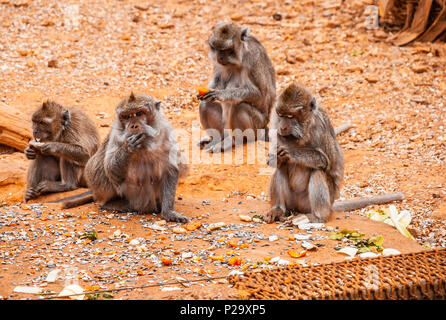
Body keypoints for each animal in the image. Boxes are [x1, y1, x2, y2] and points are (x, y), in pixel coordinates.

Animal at [64, 92, 188, 222]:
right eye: (126, 116)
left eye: (139, 113)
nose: (133, 126)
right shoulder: (116, 134)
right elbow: (109, 168)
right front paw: (128, 147)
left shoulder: (165, 131)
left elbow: (171, 169)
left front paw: (169, 212)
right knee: (95, 167)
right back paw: (115, 203)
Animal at [198, 21, 276, 154]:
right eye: (216, 48)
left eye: (227, 49)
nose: (219, 57)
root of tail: (265, 127)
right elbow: (216, 82)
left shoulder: (252, 59)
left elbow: (259, 94)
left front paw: (221, 94)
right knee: (206, 104)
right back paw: (216, 140)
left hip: (256, 128)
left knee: (239, 106)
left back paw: (232, 141)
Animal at [264, 84, 404, 224]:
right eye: (281, 115)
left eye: (290, 116)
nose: (282, 127)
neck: (302, 133)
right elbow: (274, 161)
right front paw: (277, 157)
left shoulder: (320, 127)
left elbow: (326, 161)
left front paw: (290, 152)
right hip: (292, 201)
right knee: (282, 168)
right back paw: (278, 209)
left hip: (313, 201)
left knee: (317, 172)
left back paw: (318, 216)